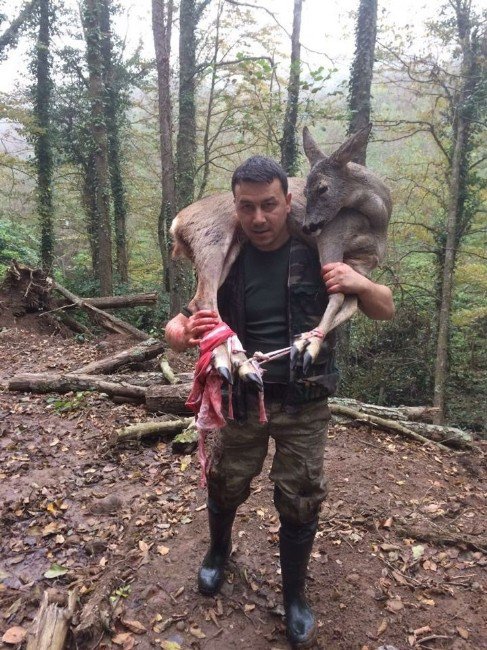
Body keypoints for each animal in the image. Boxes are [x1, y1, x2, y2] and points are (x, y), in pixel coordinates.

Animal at [171, 125, 392, 384]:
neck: (378, 221)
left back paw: (238, 360)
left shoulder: (360, 265)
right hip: (212, 237)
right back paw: (237, 363)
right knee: (205, 299)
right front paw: (310, 346)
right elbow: (338, 298)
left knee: (197, 300)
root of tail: (176, 223)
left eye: (322, 188)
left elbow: (352, 304)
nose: (307, 226)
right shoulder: (332, 236)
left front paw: (302, 342)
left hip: (231, 247)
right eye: (306, 189)